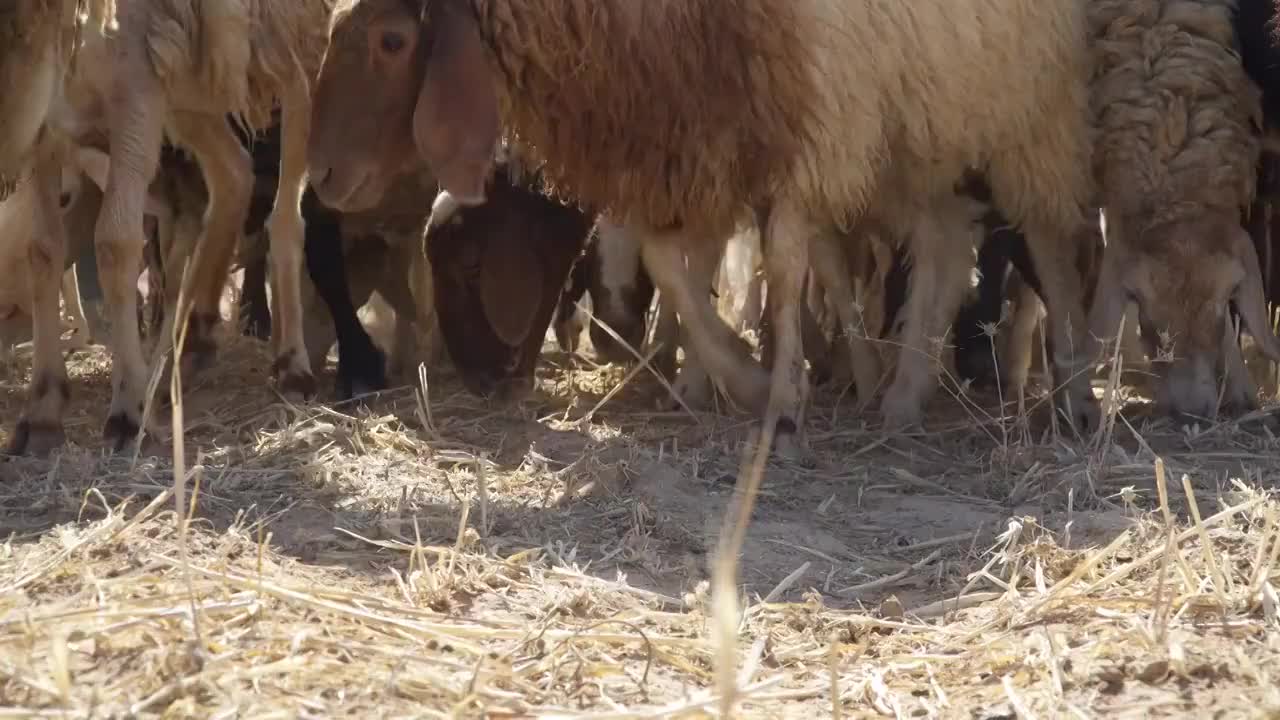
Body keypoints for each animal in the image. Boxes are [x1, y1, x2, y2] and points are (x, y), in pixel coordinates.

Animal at [8, 0, 335, 453]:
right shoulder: (48, 125)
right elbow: (42, 249)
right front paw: (43, 408)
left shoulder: (136, 93)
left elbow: (114, 243)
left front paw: (127, 411)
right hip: (190, 89)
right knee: (234, 175)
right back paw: (184, 349)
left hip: (292, 55)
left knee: (285, 219)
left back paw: (292, 365)